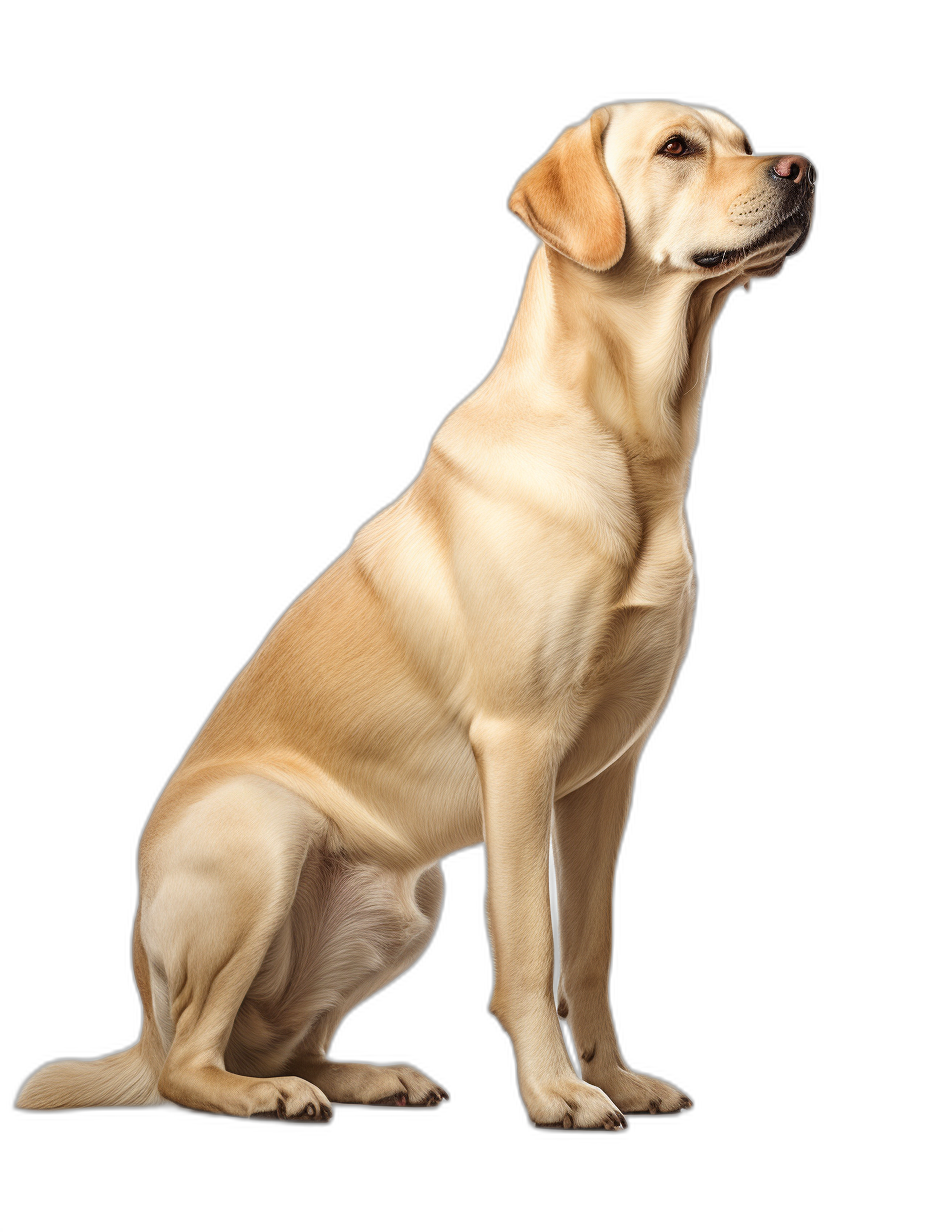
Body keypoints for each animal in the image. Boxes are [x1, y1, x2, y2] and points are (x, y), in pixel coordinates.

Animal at [14, 101, 808, 1128]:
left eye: (743, 141)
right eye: (678, 148)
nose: (803, 167)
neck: (632, 435)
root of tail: (141, 1022)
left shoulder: (608, 777)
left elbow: (591, 948)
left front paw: (620, 1078)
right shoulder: (520, 750)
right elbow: (530, 946)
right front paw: (558, 1093)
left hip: (408, 897)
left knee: (285, 1039)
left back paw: (367, 1077)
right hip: (264, 832)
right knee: (189, 1064)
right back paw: (262, 1096)